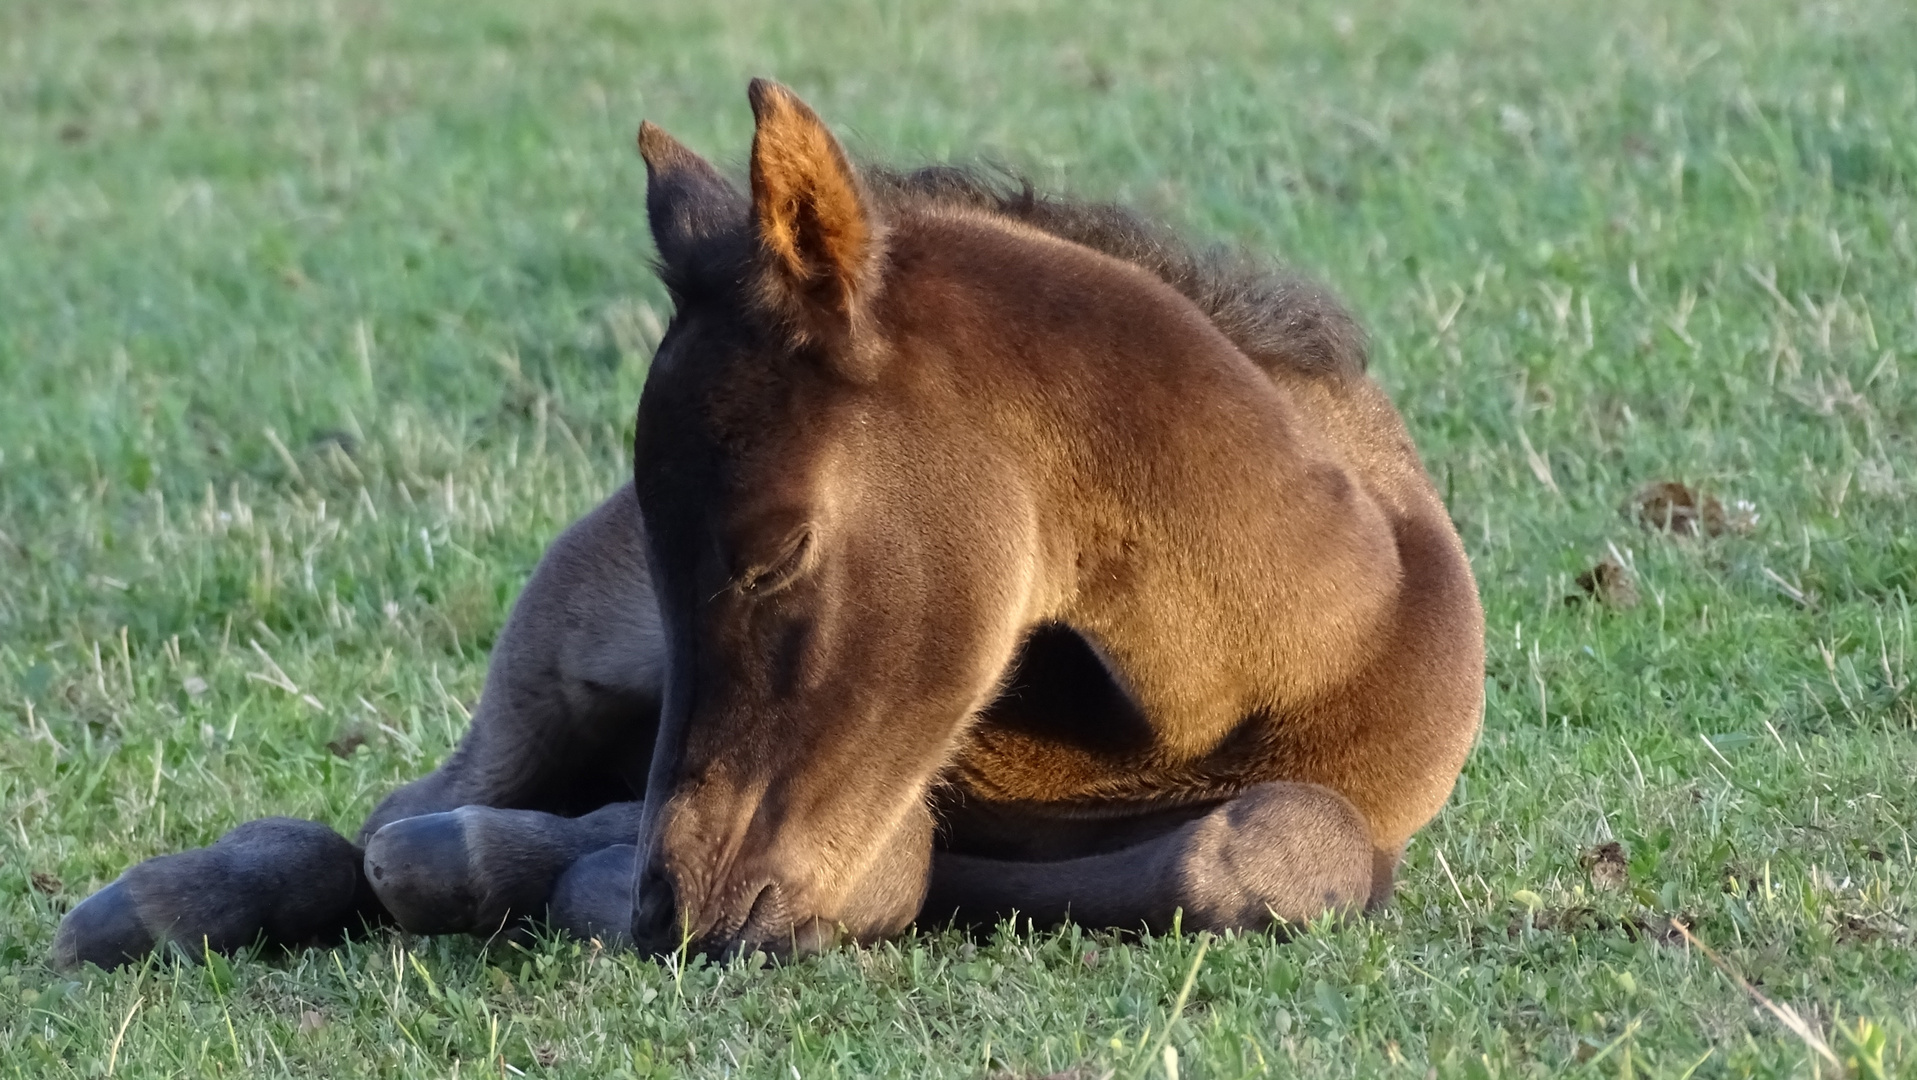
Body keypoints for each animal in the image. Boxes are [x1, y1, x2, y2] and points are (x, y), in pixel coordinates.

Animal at [48, 80, 1479, 966]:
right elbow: (894, 857)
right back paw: (175, 902)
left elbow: (1271, 850)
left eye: (774, 550)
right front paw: (540, 874)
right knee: (396, 811)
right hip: (548, 669)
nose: (676, 908)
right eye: (671, 555)